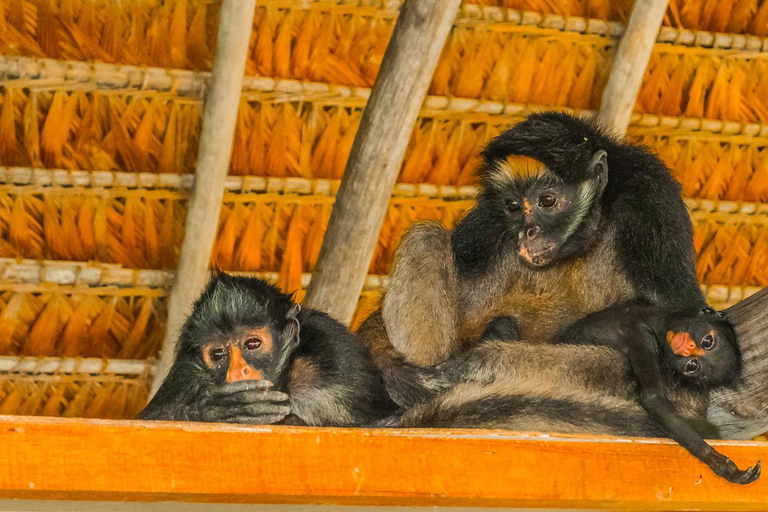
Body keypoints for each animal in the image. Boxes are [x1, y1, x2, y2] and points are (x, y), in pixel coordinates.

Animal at [139, 274, 400, 426]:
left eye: (252, 344)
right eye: (218, 355)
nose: (238, 372)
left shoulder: (336, 354)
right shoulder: (187, 371)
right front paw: (215, 411)